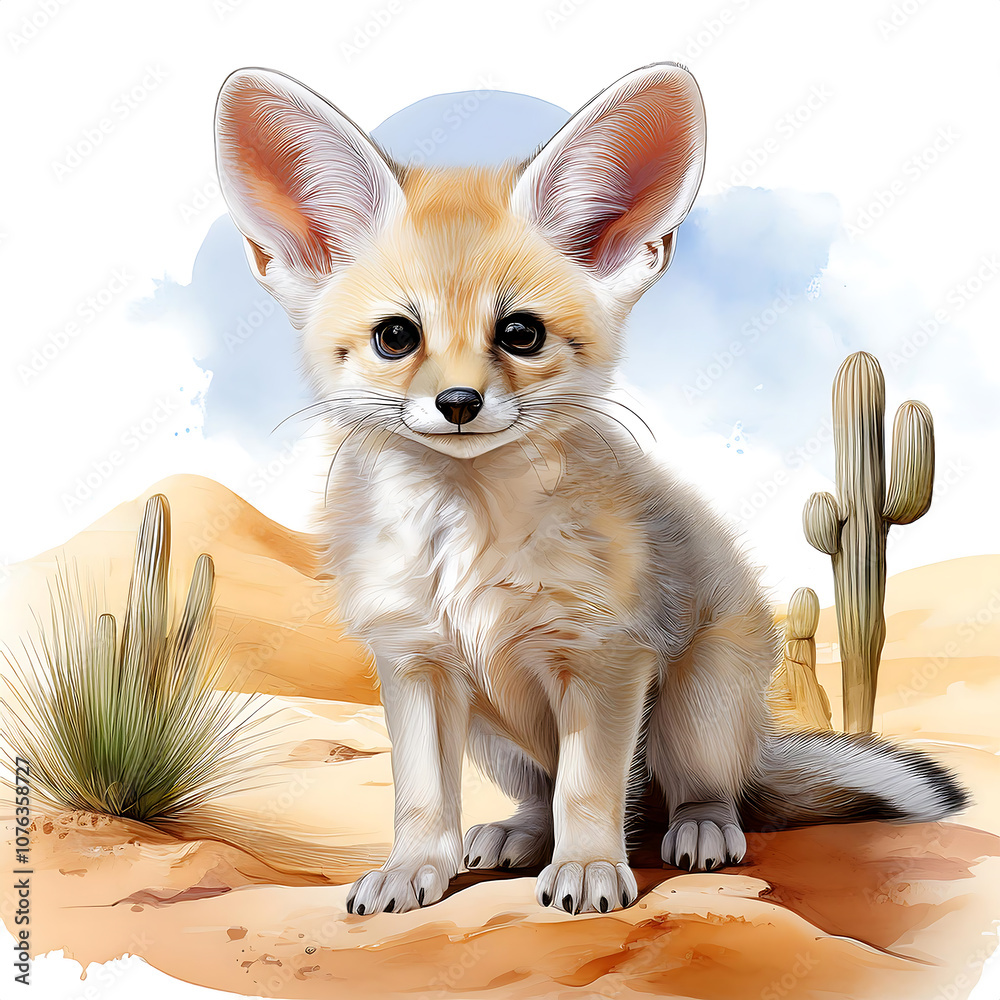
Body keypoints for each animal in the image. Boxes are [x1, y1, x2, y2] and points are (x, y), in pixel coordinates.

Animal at [213, 62, 968, 916]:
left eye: (521, 334)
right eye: (396, 337)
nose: (458, 403)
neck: (468, 538)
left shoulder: (605, 658)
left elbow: (589, 788)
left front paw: (588, 867)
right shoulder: (415, 662)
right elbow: (424, 799)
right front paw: (413, 871)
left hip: (693, 713)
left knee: (697, 793)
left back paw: (700, 828)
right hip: (495, 736)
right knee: (546, 795)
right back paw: (517, 834)